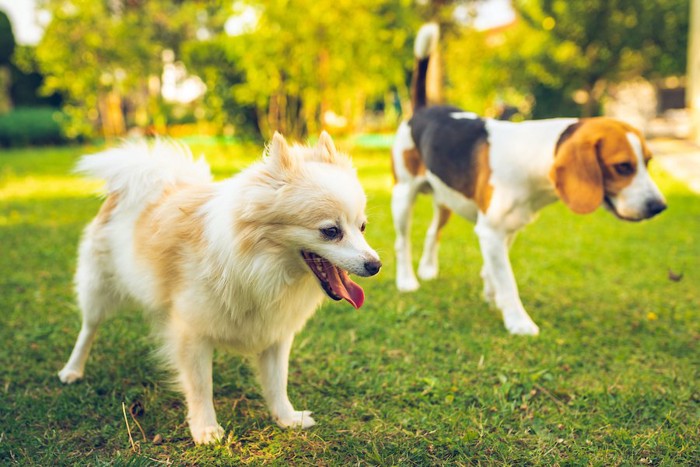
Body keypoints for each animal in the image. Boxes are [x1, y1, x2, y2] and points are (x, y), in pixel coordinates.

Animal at [58, 133, 382, 446]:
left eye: (362, 227)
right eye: (330, 231)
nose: (375, 264)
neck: (259, 265)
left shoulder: (276, 332)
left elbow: (277, 381)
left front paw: (286, 418)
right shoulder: (192, 332)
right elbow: (201, 385)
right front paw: (205, 429)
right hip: (98, 288)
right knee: (88, 328)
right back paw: (72, 369)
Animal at [392, 23, 664, 334]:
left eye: (648, 161)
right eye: (623, 167)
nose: (659, 206)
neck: (533, 159)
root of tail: (423, 109)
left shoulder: (509, 228)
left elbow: (494, 271)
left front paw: (492, 295)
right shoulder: (492, 231)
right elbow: (507, 280)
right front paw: (518, 321)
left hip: (446, 199)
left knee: (432, 231)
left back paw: (427, 268)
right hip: (403, 196)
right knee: (402, 242)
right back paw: (407, 280)